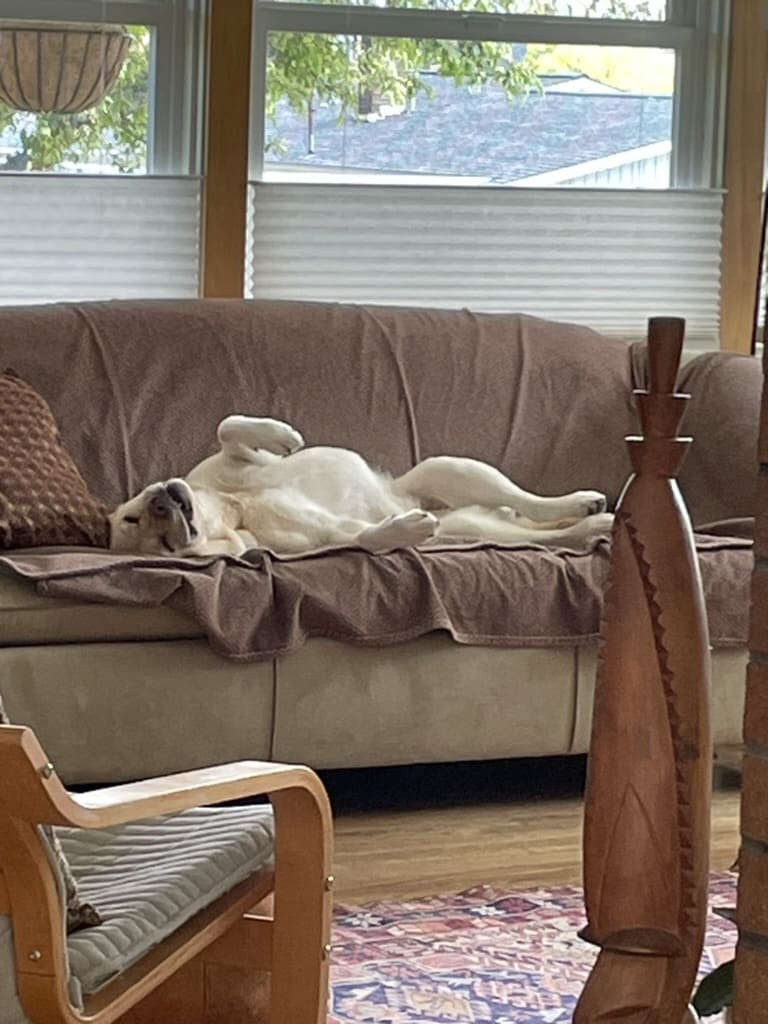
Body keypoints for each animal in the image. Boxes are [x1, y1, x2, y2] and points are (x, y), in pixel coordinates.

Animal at [109, 415, 614, 561]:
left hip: (448, 469)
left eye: (131, 514)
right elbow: (362, 537)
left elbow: (228, 427)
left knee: (528, 502)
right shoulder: (324, 537)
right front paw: (402, 530)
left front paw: (281, 435)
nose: (161, 505)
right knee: (539, 530)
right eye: (164, 547)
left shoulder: (231, 462)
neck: (235, 510)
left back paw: (582, 503)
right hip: (476, 525)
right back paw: (593, 524)